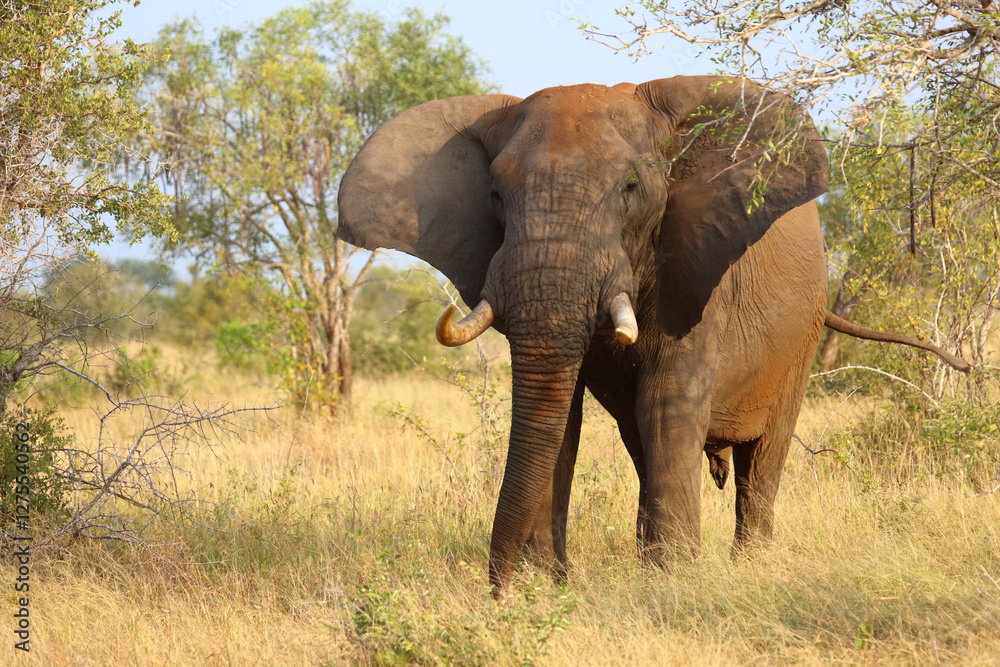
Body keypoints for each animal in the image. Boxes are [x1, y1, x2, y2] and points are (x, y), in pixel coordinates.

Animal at [336, 76, 970, 594]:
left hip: (805, 329)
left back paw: (751, 564)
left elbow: (667, 399)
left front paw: (671, 579)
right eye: (494, 196)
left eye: (630, 188)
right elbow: (561, 415)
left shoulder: (696, 264)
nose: (497, 590)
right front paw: (548, 584)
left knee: (763, 455)